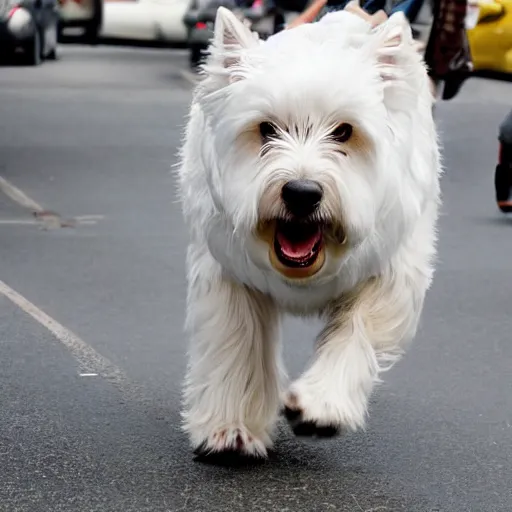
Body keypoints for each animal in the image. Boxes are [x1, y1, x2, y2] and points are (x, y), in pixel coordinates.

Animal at [176, 6, 440, 458]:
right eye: (266, 129)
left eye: (344, 131)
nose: (301, 193)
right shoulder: (228, 272)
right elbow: (236, 341)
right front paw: (231, 428)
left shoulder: (393, 273)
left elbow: (357, 329)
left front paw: (320, 406)